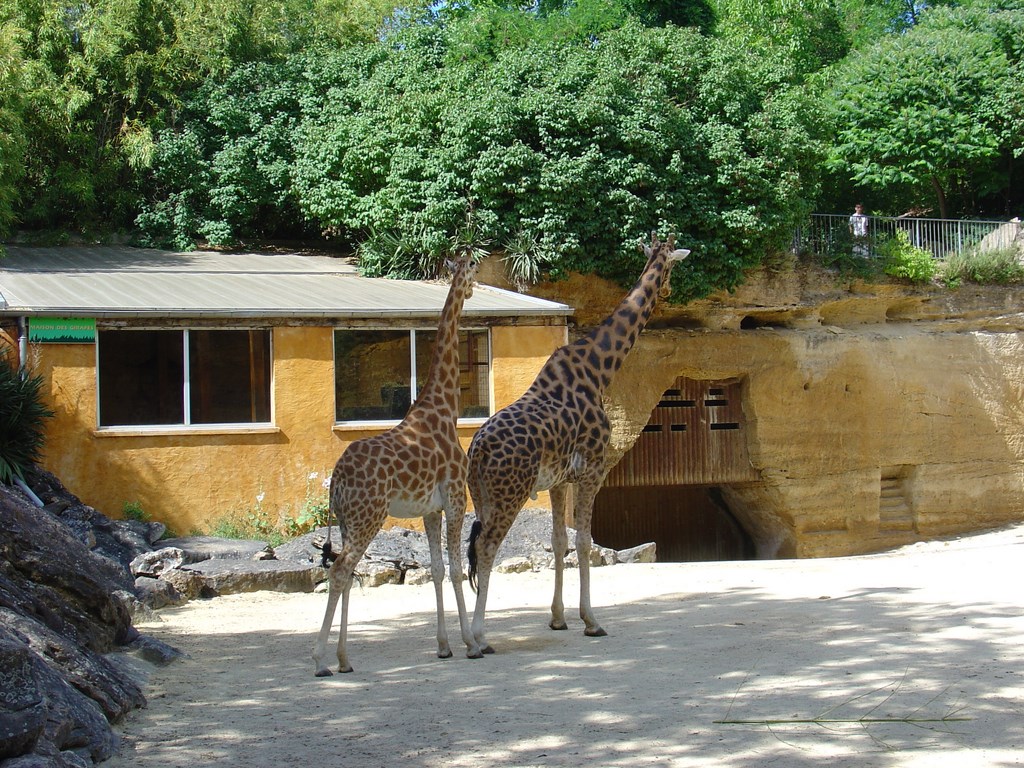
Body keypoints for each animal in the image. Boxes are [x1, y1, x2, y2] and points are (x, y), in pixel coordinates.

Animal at [313, 253, 482, 675]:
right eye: (474, 267)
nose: (474, 288)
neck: (445, 407)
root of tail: (335, 480)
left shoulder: (431, 509)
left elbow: (437, 569)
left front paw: (443, 646)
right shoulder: (456, 499)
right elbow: (456, 568)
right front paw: (470, 644)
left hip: (348, 521)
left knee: (345, 572)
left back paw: (344, 659)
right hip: (368, 516)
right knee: (340, 570)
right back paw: (321, 659)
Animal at [466, 233, 689, 653]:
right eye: (673, 266)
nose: (669, 290)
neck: (599, 369)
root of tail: (477, 451)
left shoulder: (558, 482)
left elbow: (558, 542)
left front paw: (557, 618)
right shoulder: (593, 470)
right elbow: (584, 542)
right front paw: (591, 621)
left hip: (481, 495)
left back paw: (464, 637)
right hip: (509, 495)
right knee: (485, 548)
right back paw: (479, 639)